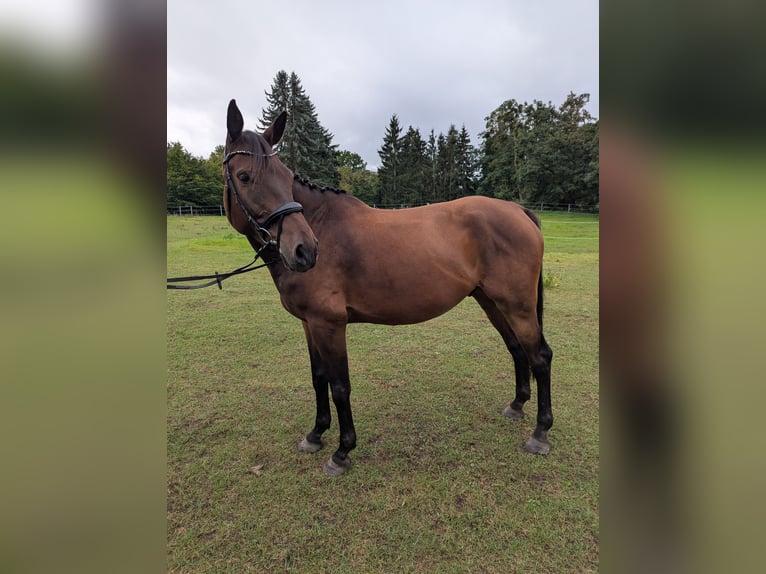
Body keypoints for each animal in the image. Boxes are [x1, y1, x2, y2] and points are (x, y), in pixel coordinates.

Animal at [222, 99, 553, 476]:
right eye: (245, 177)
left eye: (285, 178)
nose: (304, 250)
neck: (322, 226)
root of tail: (517, 210)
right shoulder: (310, 324)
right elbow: (318, 377)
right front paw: (316, 434)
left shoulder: (329, 324)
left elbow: (340, 386)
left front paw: (342, 452)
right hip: (493, 301)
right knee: (517, 349)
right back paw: (517, 405)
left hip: (517, 306)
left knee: (540, 356)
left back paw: (540, 433)